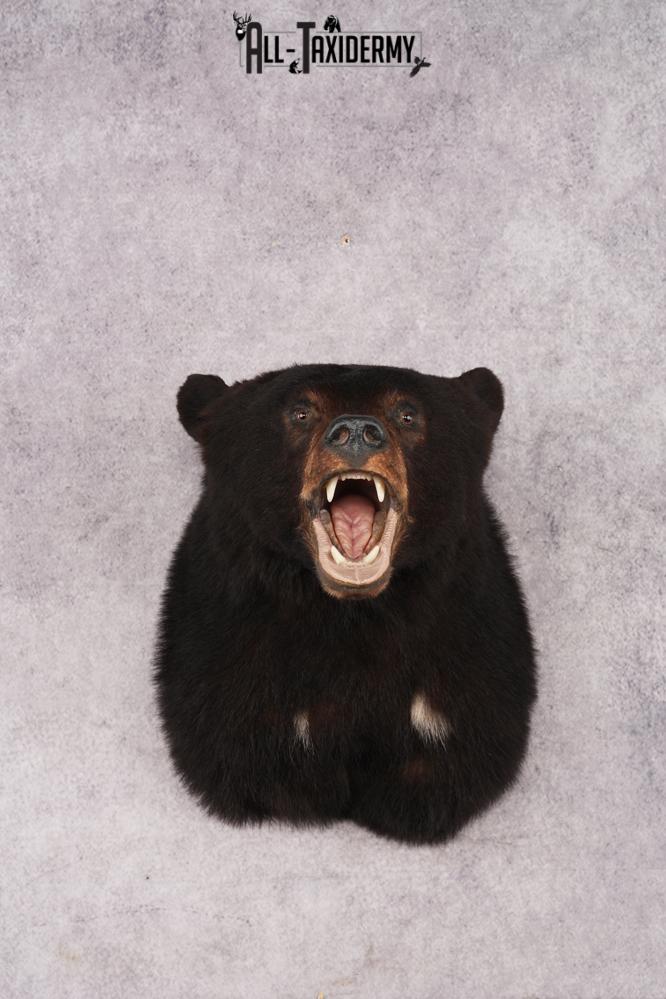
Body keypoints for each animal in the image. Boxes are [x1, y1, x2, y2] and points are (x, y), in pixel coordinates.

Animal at [154, 363, 537, 844]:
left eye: (407, 414)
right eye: (300, 412)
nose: (356, 432)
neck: (352, 617)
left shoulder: (471, 642)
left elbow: (456, 749)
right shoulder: (224, 644)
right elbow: (243, 750)